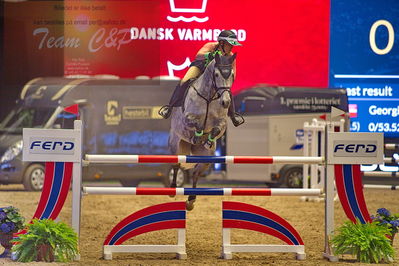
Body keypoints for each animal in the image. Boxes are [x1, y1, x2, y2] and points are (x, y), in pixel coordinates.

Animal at [169, 53, 238, 211]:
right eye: (217, 74)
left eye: (232, 75)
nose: (226, 102)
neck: (209, 97)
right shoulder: (187, 118)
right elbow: (195, 124)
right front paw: (198, 136)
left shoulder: (222, 123)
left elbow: (217, 129)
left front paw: (208, 140)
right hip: (176, 146)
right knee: (176, 166)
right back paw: (173, 189)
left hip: (206, 160)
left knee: (195, 174)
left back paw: (191, 200)